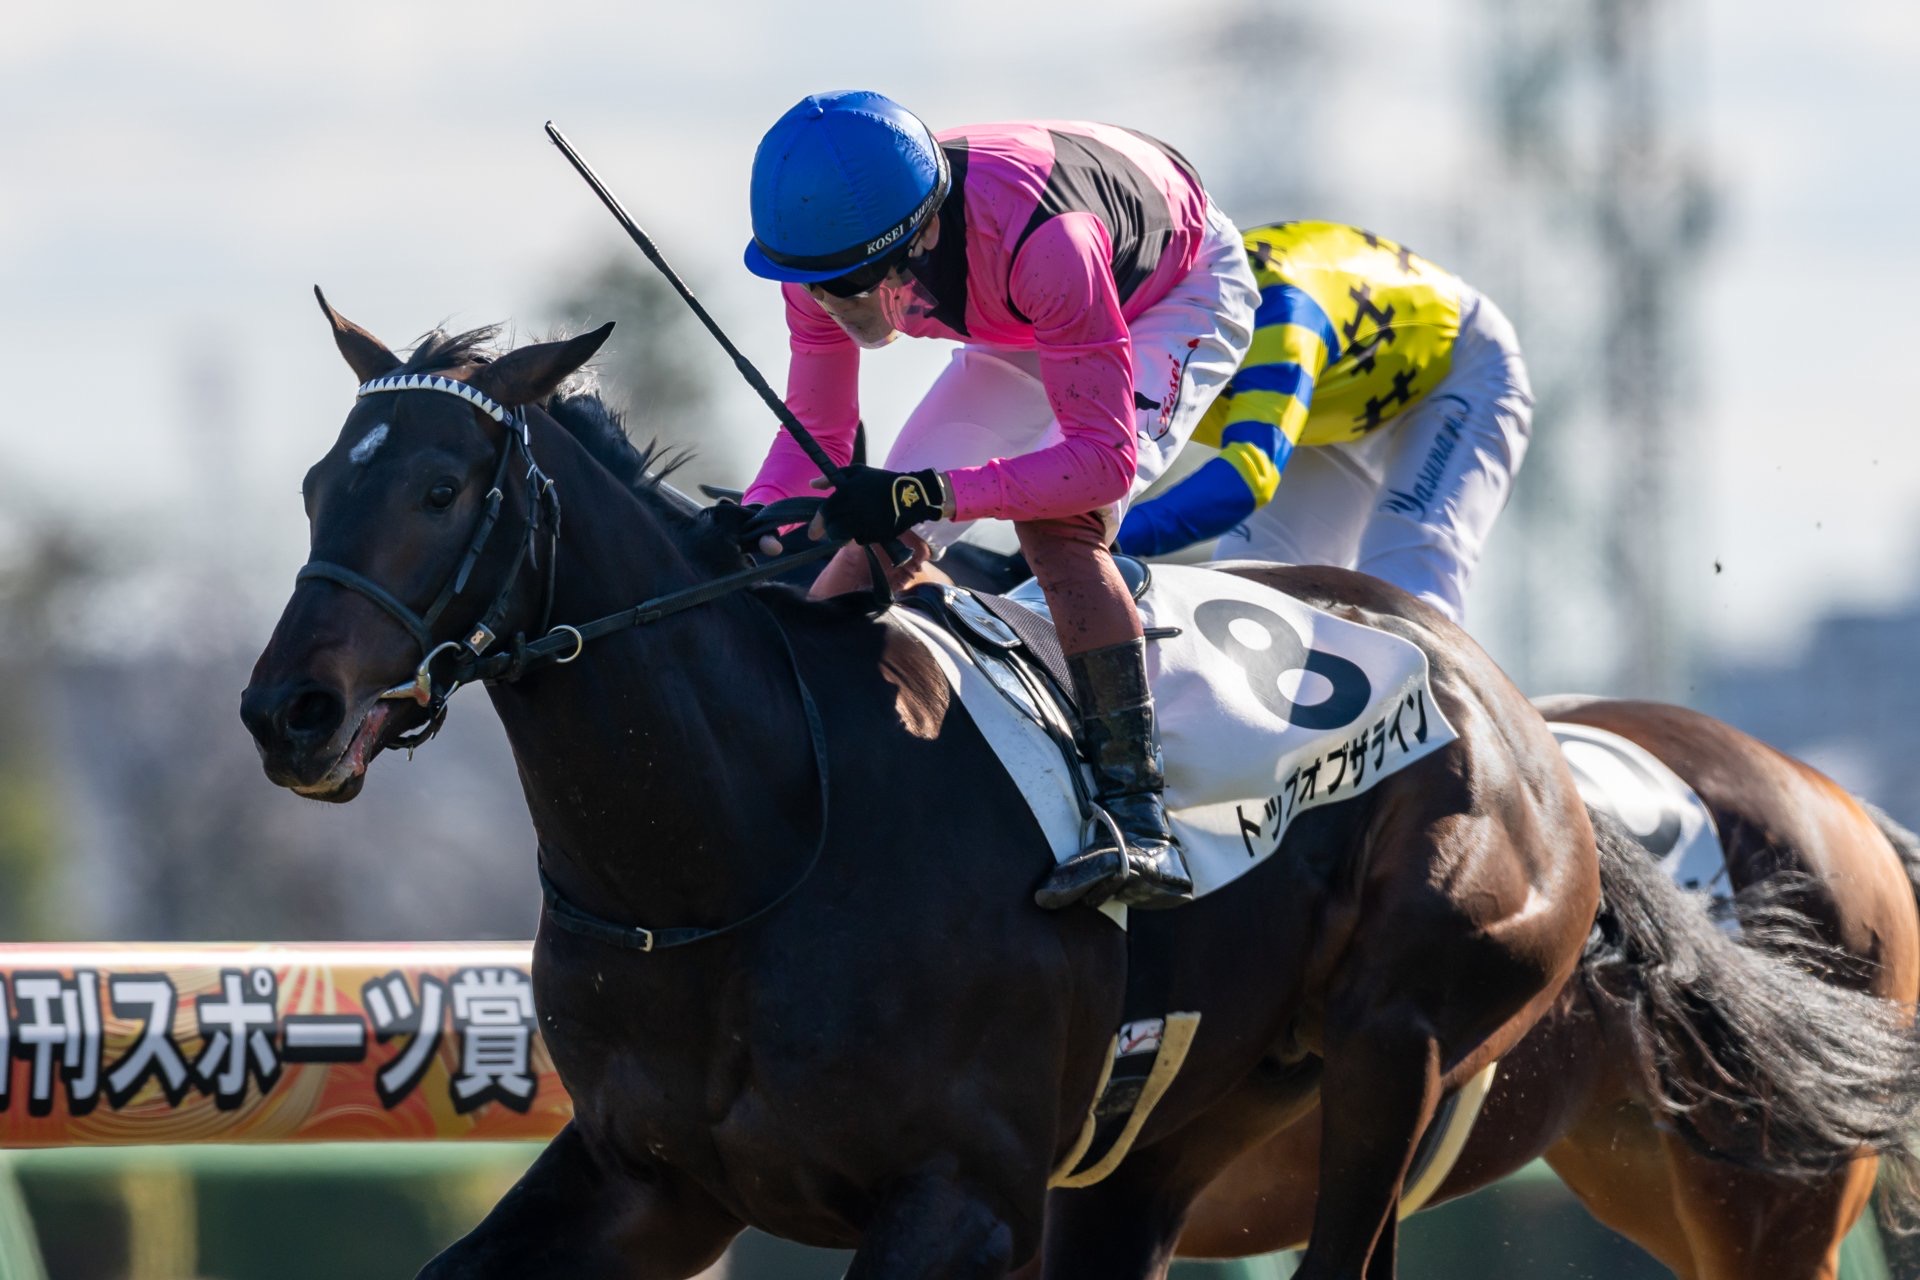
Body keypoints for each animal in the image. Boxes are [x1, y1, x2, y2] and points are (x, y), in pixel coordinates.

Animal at [239, 304, 1912, 1279]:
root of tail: (1524, 731)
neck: (746, 848)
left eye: (442, 488)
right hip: (1195, 1150)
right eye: (319, 484)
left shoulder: (958, 1201)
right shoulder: (649, 1177)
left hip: (1471, 1071)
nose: (287, 709)